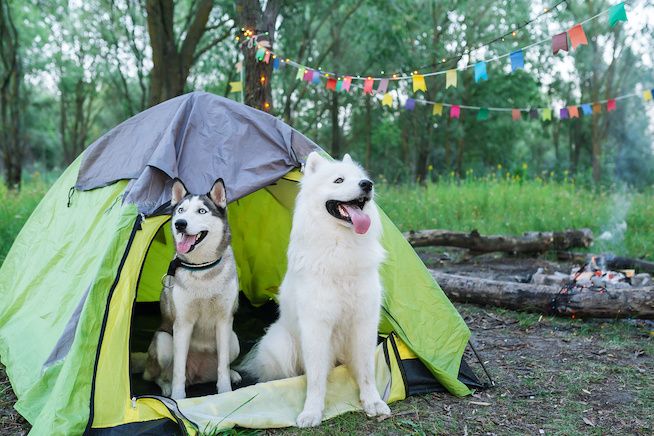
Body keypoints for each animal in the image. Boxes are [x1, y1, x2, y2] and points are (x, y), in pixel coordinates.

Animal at [245, 152, 390, 426]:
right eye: (339, 180)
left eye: (360, 177)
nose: (368, 184)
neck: (341, 246)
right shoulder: (316, 326)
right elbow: (315, 378)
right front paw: (311, 412)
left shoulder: (364, 322)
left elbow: (366, 371)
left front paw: (373, 402)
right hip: (281, 344)